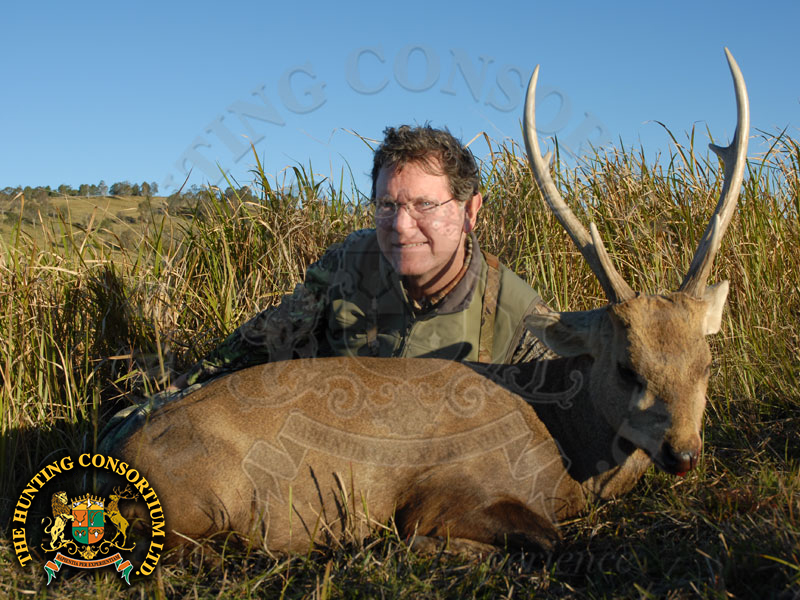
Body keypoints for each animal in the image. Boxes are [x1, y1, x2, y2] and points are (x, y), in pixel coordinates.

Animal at [105, 49, 748, 555]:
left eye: (706, 365)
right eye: (626, 366)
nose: (683, 452)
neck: (566, 452)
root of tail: (122, 463)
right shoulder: (446, 488)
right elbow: (543, 538)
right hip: (207, 500)